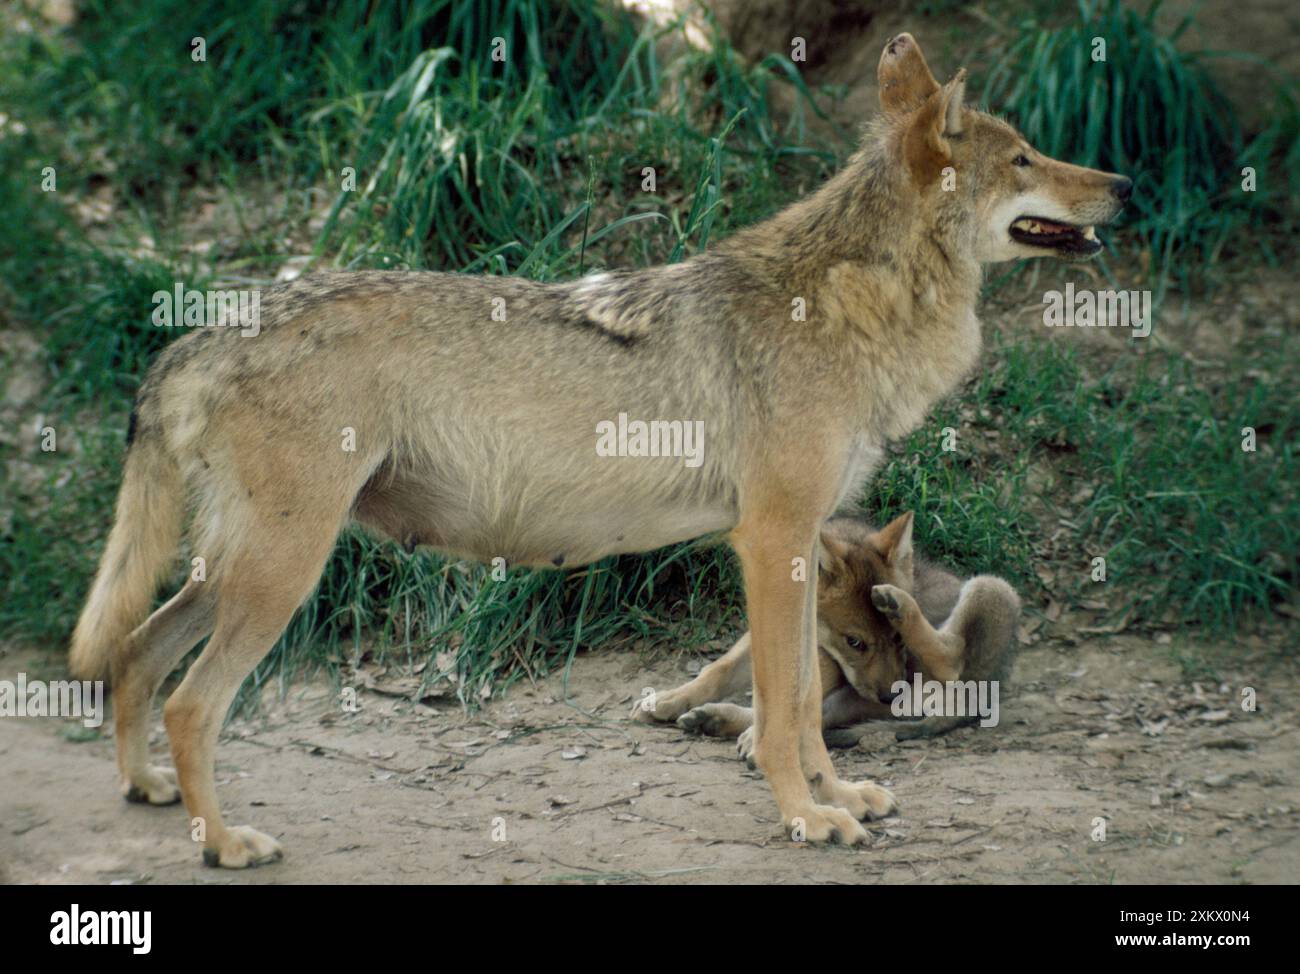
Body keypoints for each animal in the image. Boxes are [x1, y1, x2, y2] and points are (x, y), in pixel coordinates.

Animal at [71, 32, 1128, 868]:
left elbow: (801, 700)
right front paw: (805, 819)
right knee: (189, 703)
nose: (1122, 184)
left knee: (132, 653)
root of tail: (200, 332)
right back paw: (223, 844)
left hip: (232, 569)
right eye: (1026, 158)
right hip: (282, 570)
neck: (849, 305)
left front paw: (837, 801)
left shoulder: (803, 552)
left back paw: (146, 790)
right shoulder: (769, 543)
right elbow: (783, 710)